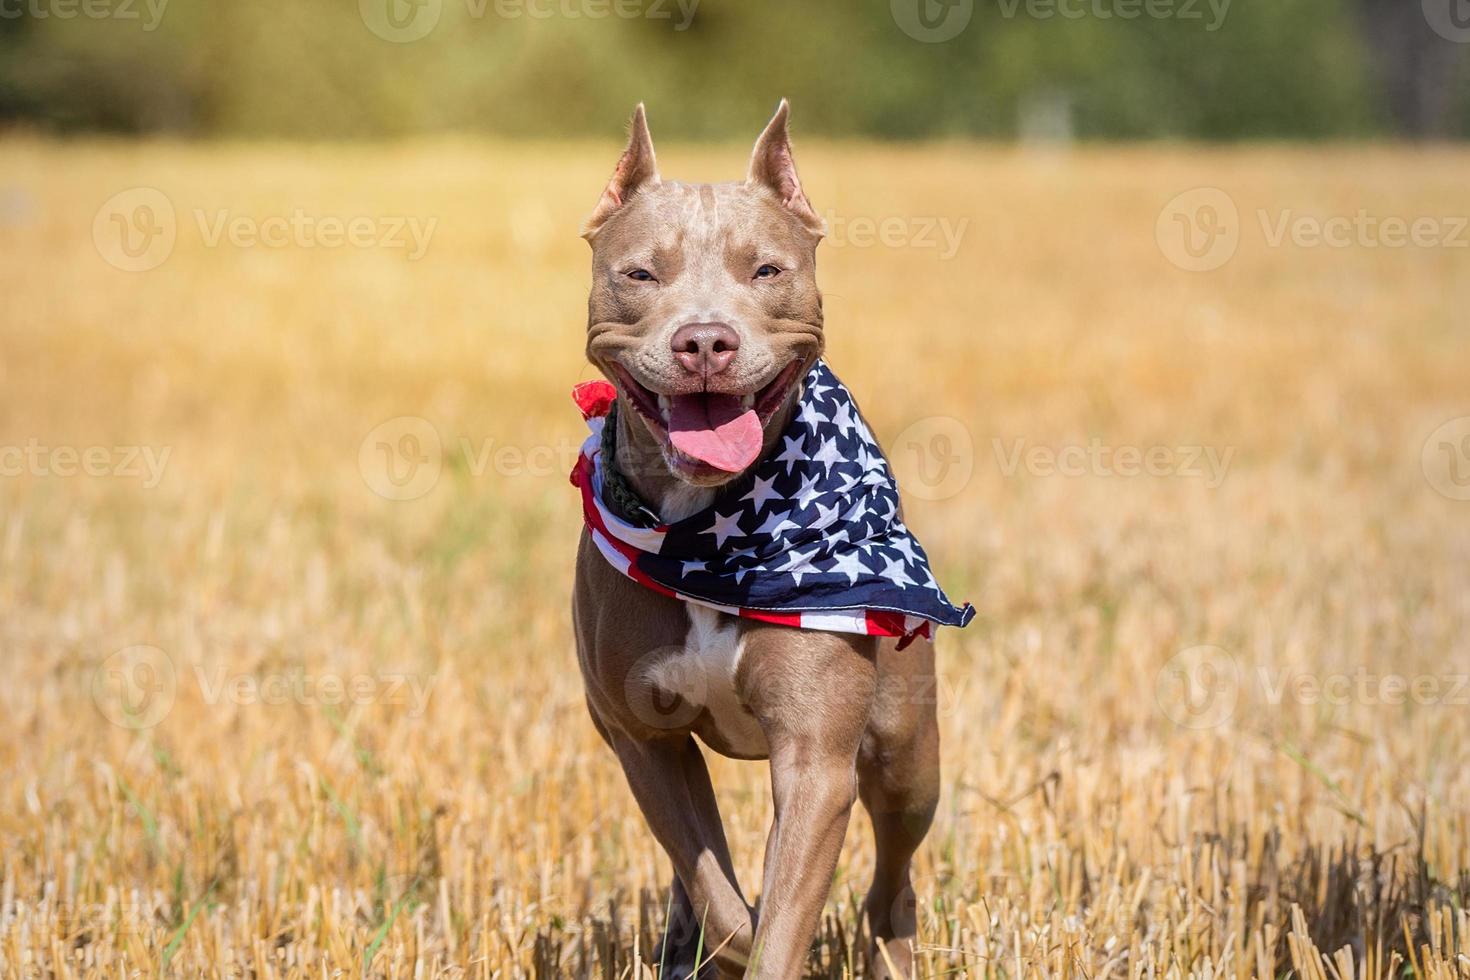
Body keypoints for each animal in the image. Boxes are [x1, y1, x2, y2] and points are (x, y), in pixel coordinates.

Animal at [567, 101, 946, 980]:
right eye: (641, 275)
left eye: (766, 271)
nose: (706, 341)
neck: (713, 529)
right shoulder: (643, 740)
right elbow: (722, 894)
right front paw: (712, 941)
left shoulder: (815, 757)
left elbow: (777, 913)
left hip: (907, 755)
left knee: (893, 881)